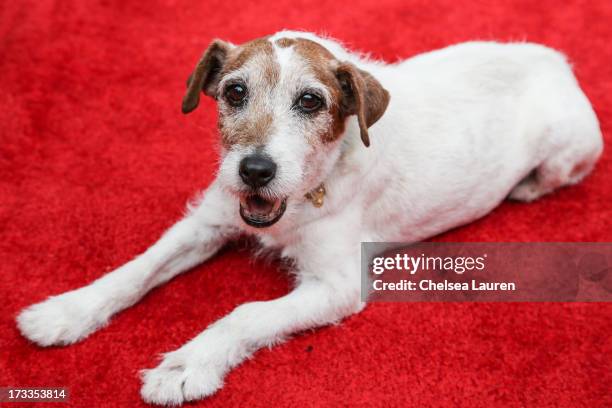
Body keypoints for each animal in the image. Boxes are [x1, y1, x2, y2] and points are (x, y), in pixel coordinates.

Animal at [15, 30, 604, 404]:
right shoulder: (207, 221)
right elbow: (137, 268)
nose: (254, 170)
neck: (302, 197)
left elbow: (246, 313)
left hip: (568, 153)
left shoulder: (336, 285)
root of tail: (557, 62)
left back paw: (524, 188)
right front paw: (68, 310)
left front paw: (186, 366)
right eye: (234, 91)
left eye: (310, 101)